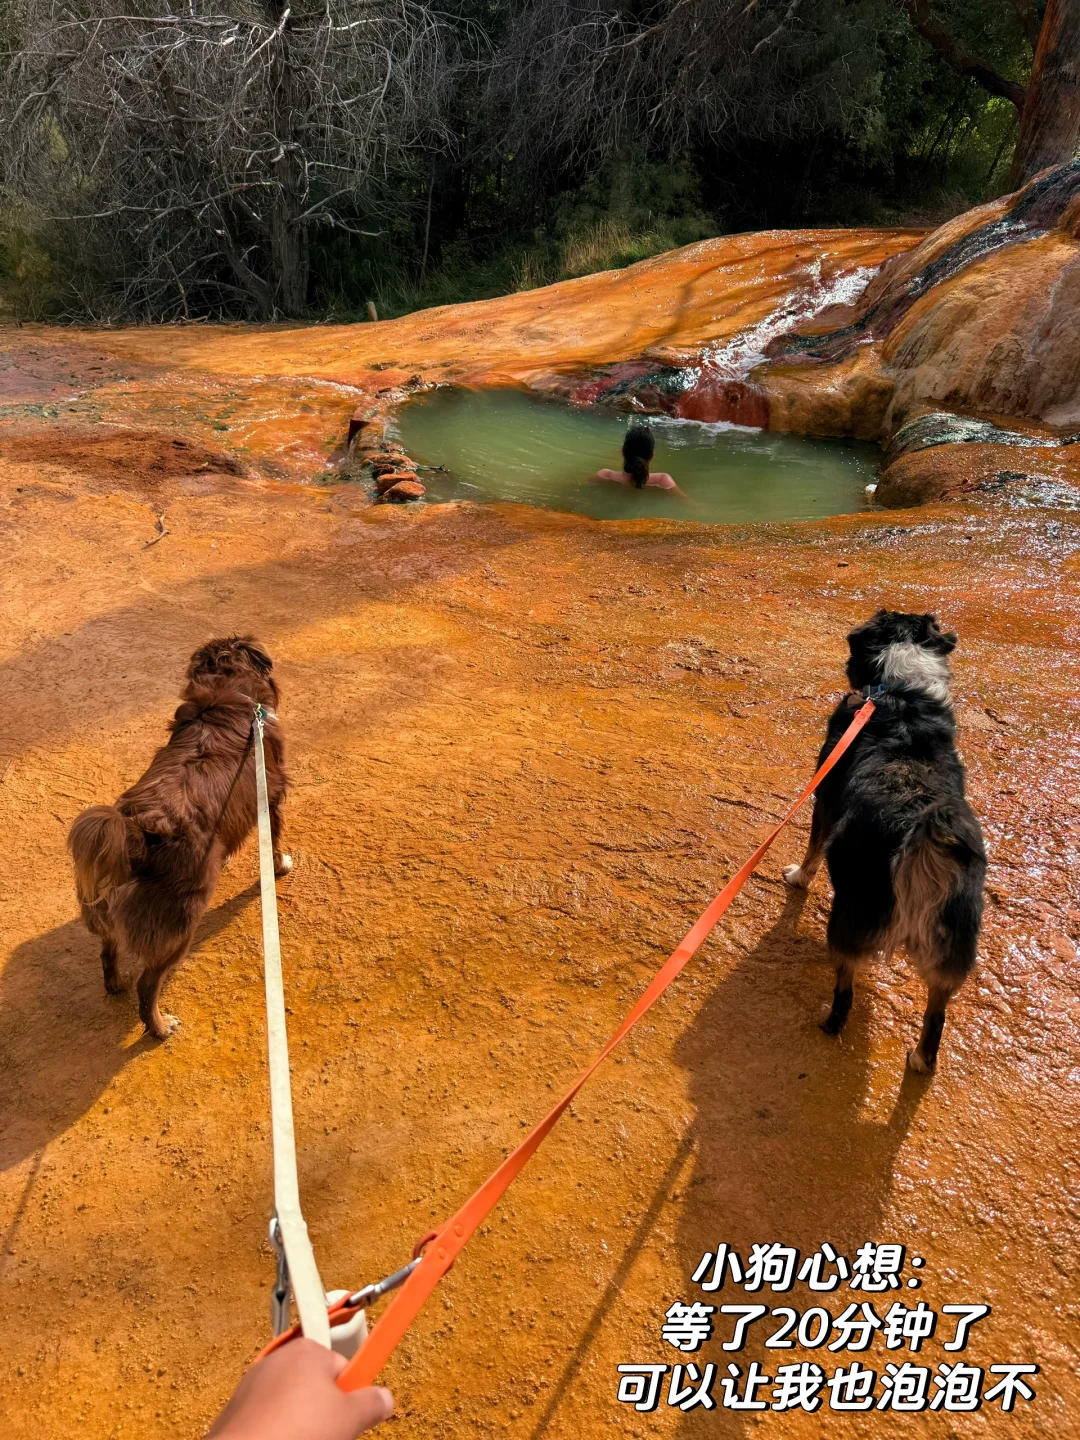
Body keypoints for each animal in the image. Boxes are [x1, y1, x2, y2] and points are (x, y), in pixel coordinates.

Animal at [68, 639, 292, 1036]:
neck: (225, 689)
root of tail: (136, 839)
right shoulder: (271, 795)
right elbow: (274, 842)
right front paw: (280, 867)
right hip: (181, 926)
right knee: (148, 986)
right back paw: (159, 1026)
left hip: (108, 914)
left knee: (108, 951)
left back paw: (115, 984)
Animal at [789, 607, 990, 1071]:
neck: (899, 692)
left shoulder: (823, 798)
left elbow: (812, 849)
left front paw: (798, 878)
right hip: (951, 953)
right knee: (936, 1017)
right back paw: (920, 1059)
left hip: (847, 920)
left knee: (845, 992)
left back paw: (827, 1021)